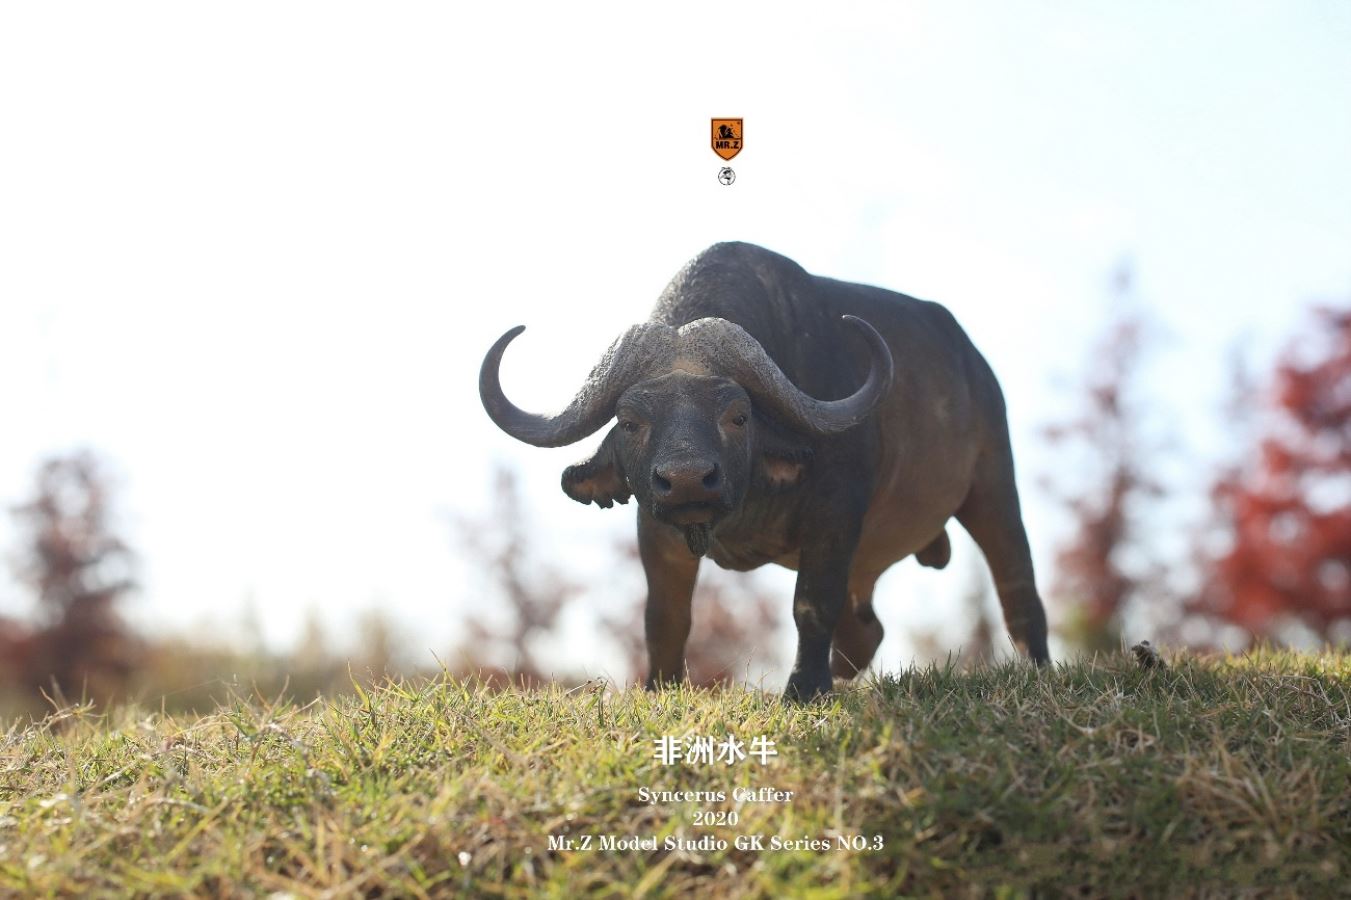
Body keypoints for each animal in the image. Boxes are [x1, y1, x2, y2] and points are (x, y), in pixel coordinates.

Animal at [479, 242, 1049, 700]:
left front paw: (805, 689)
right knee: (866, 631)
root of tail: (974, 365)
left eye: (738, 415)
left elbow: (812, 603)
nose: (687, 479)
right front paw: (659, 691)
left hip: (993, 483)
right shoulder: (655, 527)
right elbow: (664, 616)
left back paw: (1038, 670)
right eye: (630, 421)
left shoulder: (835, 514)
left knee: (1016, 584)